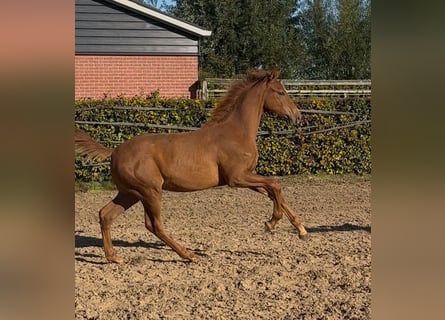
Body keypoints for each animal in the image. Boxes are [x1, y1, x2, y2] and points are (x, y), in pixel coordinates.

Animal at [74, 69, 306, 264]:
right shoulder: (237, 177)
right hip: (149, 191)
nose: (298, 117)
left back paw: (114, 257)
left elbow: (273, 192)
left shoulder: (247, 176)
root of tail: (114, 152)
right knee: (154, 225)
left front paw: (300, 228)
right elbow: (275, 185)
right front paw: (271, 222)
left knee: (105, 214)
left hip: (129, 193)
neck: (235, 132)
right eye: (281, 92)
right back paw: (190, 255)